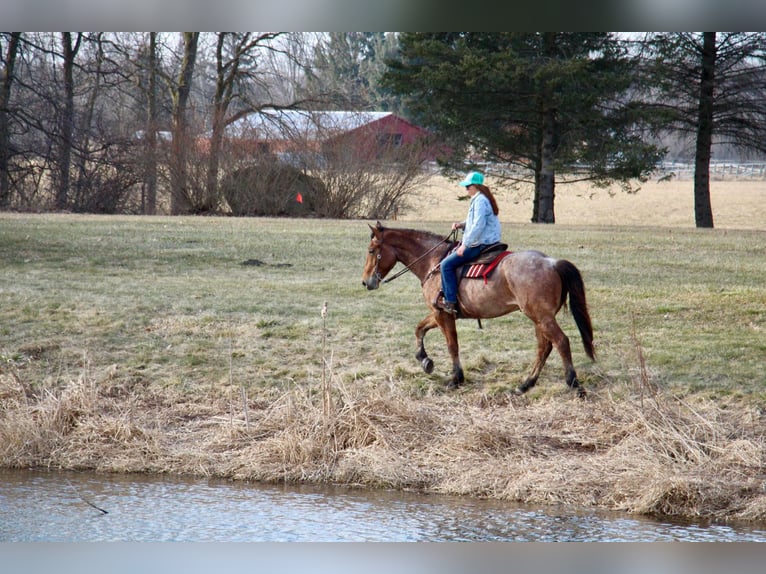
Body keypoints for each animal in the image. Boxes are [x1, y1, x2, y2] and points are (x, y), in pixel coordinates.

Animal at [364, 222, 596, 400]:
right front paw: (425, 360)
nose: (366, 282)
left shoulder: (442, 314)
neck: (434, 262)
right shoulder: (439, 313)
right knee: (544, 348)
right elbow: (419, 329)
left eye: (371, 251)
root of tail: (552, 263)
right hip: (539, 318)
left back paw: (574, 385)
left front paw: (456, 379)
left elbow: (452, 345)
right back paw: (525, 385)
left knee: (561, 342)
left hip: (542, 317)